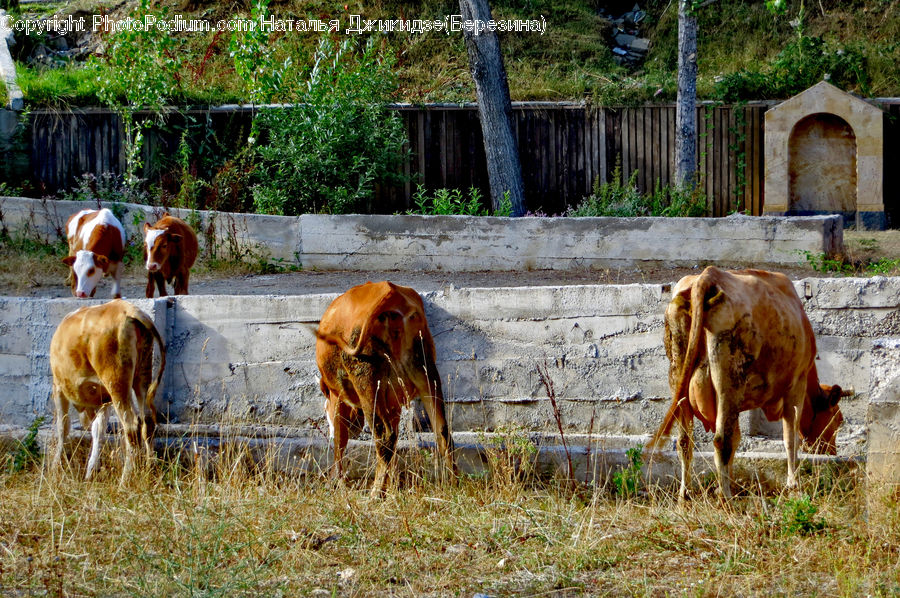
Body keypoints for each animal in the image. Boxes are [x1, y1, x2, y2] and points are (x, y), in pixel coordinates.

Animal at [50, 299, 166, 482]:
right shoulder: (104, 399)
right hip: (141, 376)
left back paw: (125, 480)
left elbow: (63, 427)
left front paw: (56, 468)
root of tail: (129, 309)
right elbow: (98, 429)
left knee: (131, 425)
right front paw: (91, 471)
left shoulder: (59, 387)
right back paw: (150, 470)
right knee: (147, 421)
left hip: (116, 381)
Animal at [314, 281, 455, 496]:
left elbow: (339, 440)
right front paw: (392, 485)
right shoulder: (393, 402)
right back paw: (454, 483)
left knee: (384, 436)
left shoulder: (338, 396)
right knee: (442, 431)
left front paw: (335, 482)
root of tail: (389, 291)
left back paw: (375, 494)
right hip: (426, 370)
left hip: (366, 380)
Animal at [648, 267, 847, 500]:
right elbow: (790, 438)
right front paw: (793, 486)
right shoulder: (796, 384)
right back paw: (725, 499)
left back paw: (686, 495)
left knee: (685, 441)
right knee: (721, 440)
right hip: (729, 379)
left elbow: (736, 438)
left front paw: (727, 483)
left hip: (679, 375)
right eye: (838, 419)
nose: (832, 452)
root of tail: (707, 277)